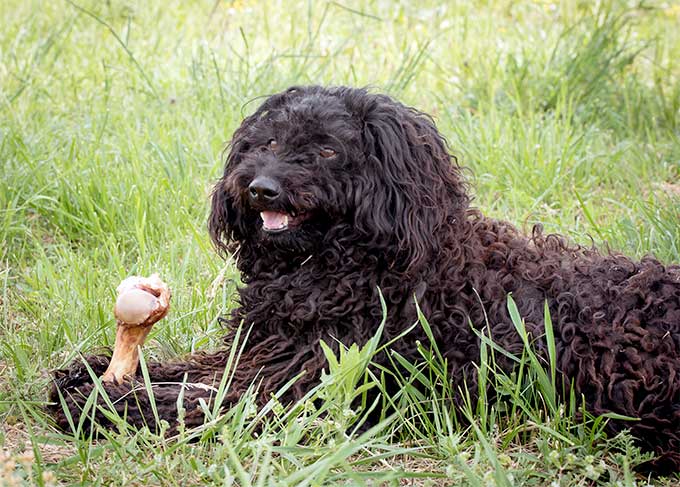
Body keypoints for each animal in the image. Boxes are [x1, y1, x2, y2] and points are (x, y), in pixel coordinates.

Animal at [51, 86, 680, 472]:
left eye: (329, 150)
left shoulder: (302, 391)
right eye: (269, 142)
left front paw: (101, 403)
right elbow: (184, 371)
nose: (260, 189)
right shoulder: (258, 352)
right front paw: (89, 373)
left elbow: (190, 401)